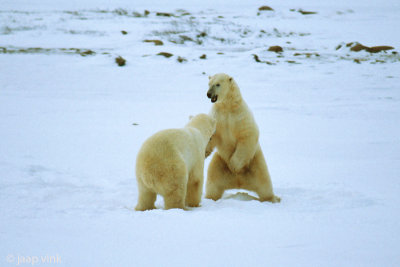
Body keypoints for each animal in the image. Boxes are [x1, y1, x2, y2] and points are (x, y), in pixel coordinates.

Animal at [205, 73, 280, 203]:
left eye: (217, 84)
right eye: (209, 84)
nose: (208, 94)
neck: (228, 106)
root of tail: (239, 182)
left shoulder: (240, 115)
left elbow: (247, 134)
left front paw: (234, 166)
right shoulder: (217, 116)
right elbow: (212, 134)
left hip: (255, 162)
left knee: (264, 183)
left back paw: (273, 199)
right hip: (219, 162)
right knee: (213, 182)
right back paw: (209, 198)